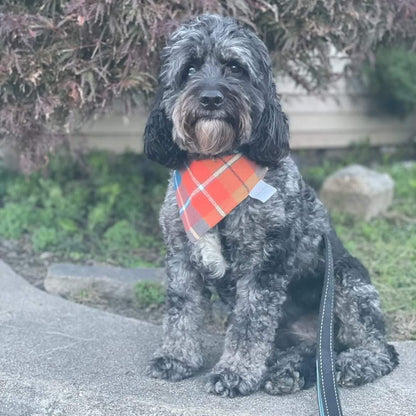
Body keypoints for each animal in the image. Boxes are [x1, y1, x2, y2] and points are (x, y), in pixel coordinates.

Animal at [144, 13, 400, 396]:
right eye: (189, 69)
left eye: (235, 68)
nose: (211, 98)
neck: (216, 165)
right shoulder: (181, 257)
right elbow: (182, 309)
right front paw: (176, 357)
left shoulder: (263, 263)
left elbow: (250, 324)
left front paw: (235, 372)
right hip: (300, 332)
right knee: (311, 354)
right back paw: (286, 372)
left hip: (346, 279)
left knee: (377, 347)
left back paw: (356, 363)